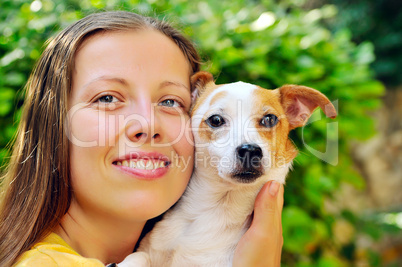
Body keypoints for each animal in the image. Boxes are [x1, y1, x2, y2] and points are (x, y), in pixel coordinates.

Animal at [118, 71, 336, 267]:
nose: (250, 150)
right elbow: (140, 256)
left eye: (269, 119)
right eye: (216, 120)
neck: (218, 209)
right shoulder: (152, 248)